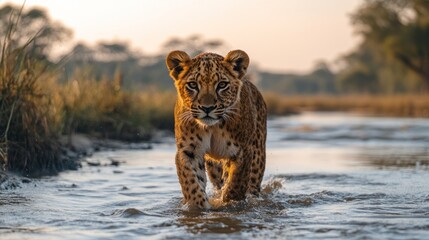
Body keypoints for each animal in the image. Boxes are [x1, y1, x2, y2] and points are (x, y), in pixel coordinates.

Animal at [166, 48, 266, 208]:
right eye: (193, 85)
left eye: (222, 85)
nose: (207, 108)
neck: (212, 128)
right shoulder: (188, 151)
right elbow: (191, 184)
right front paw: (199, 206)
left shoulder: (242, 151)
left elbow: (236, 183)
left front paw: (229, 203)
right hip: (214, 168)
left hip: (257, 158)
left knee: (251, 184)